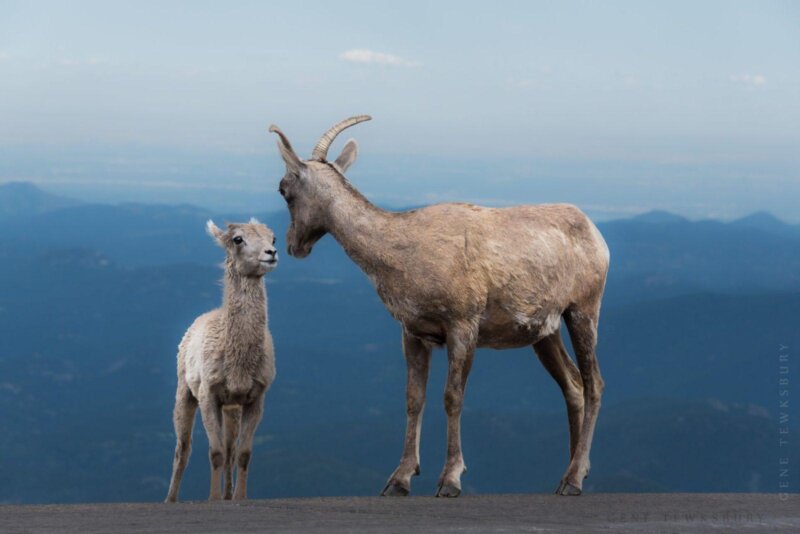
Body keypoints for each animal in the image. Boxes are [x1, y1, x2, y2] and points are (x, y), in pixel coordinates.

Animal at [164, 219, 280, 502]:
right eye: (238, 239)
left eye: (273, 238)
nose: (271, 253)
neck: (238, 364)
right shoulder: (209, 395)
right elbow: (214, 453)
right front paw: (213, 499)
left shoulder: (254, 398)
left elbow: (242, 454)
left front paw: (239, 498)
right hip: (185, 393)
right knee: (182, 449)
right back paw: (170, 499)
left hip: (232, 409)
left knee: (230, 450)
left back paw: (228, 494)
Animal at [268, 116, 608, 498]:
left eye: (283, 189)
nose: (293, 246)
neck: (403, 249)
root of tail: (595, 235)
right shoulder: (415, 334)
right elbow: (414, 398)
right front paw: (399, 480)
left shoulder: (462, 328)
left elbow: (452, 397)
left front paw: (449, 480)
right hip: (545, 333)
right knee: (573, 386)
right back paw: (568, 476)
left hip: (582, 311)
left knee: (594, 383)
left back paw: (574, 478)